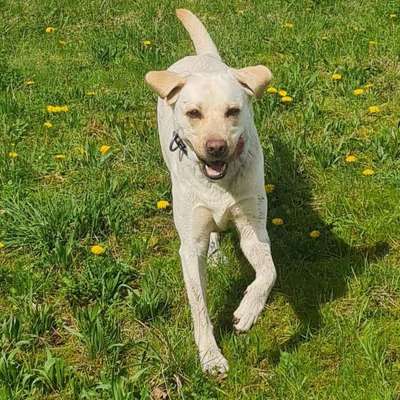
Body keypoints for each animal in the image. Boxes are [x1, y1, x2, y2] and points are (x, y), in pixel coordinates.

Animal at [145, 7, 276, 374]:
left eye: (233, 111)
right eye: (194, 113)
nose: (216, 147)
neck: (219, 184)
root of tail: (202, 58)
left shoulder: (254, 230)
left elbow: (269, 272)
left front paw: (248, 310)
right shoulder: (190, 248)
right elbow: (199, 306)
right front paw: (210, 356)